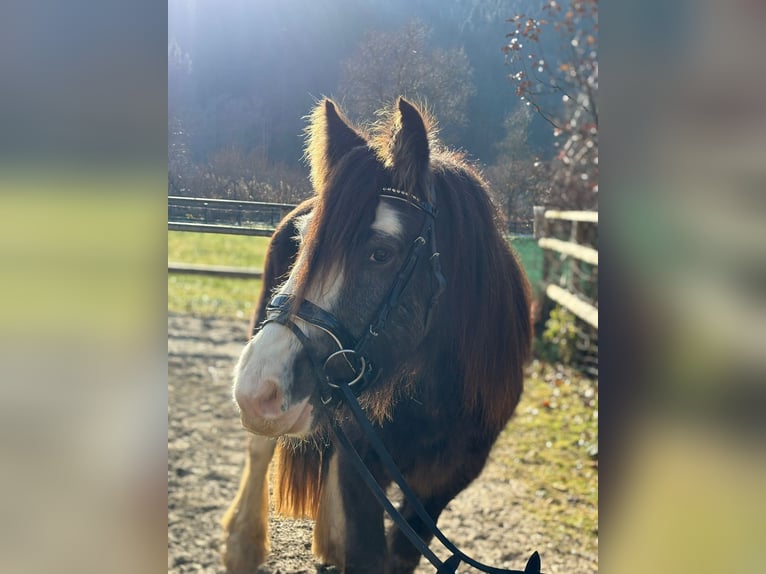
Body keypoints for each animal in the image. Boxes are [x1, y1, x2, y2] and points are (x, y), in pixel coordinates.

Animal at [221, 97, 532, 574]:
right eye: (302, 245)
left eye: (381, 253)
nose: (259, 392)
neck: (434, 402)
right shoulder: (361, 471)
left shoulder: (442, 488)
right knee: (260, 448)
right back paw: (244, 544)